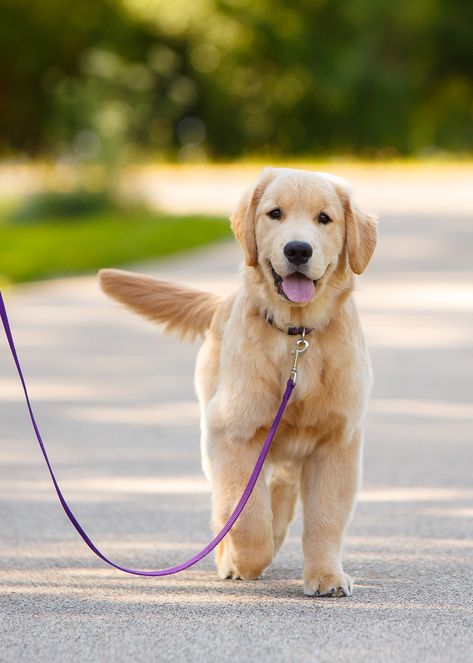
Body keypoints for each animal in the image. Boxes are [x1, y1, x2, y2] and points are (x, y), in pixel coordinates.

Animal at [99, 166, 376, 596]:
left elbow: (325, 517)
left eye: (324, 219)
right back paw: (230, 556)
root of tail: (221, 303)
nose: (298, 250)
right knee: (227, 507)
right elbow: (246, 516)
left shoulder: (338, 440)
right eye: (275, 213)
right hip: (215, 435)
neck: (297, 335)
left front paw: (327, 576)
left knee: (280, 489)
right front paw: (243, 561)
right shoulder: (234, 433)